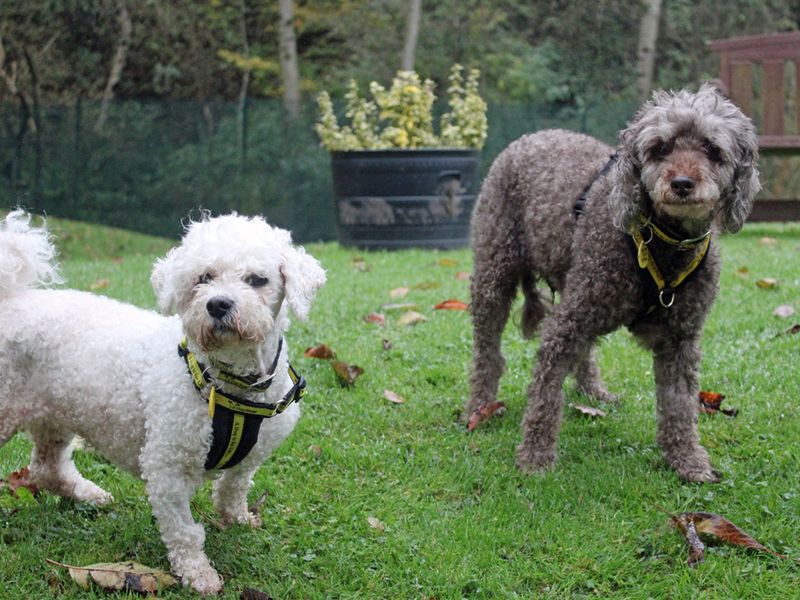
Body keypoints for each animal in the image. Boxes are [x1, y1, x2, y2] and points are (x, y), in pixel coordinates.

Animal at [0, 211, 324, 596]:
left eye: (258, 280)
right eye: (203, 278)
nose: (217, 304)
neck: (223, 384)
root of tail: (10, 300)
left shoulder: (251, 457)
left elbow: (234, 486)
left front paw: (237, 519)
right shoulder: (165, 467)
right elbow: (184, 531)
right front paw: (199, 574)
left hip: (56, 410)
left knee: (46, 467)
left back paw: (86, 493)